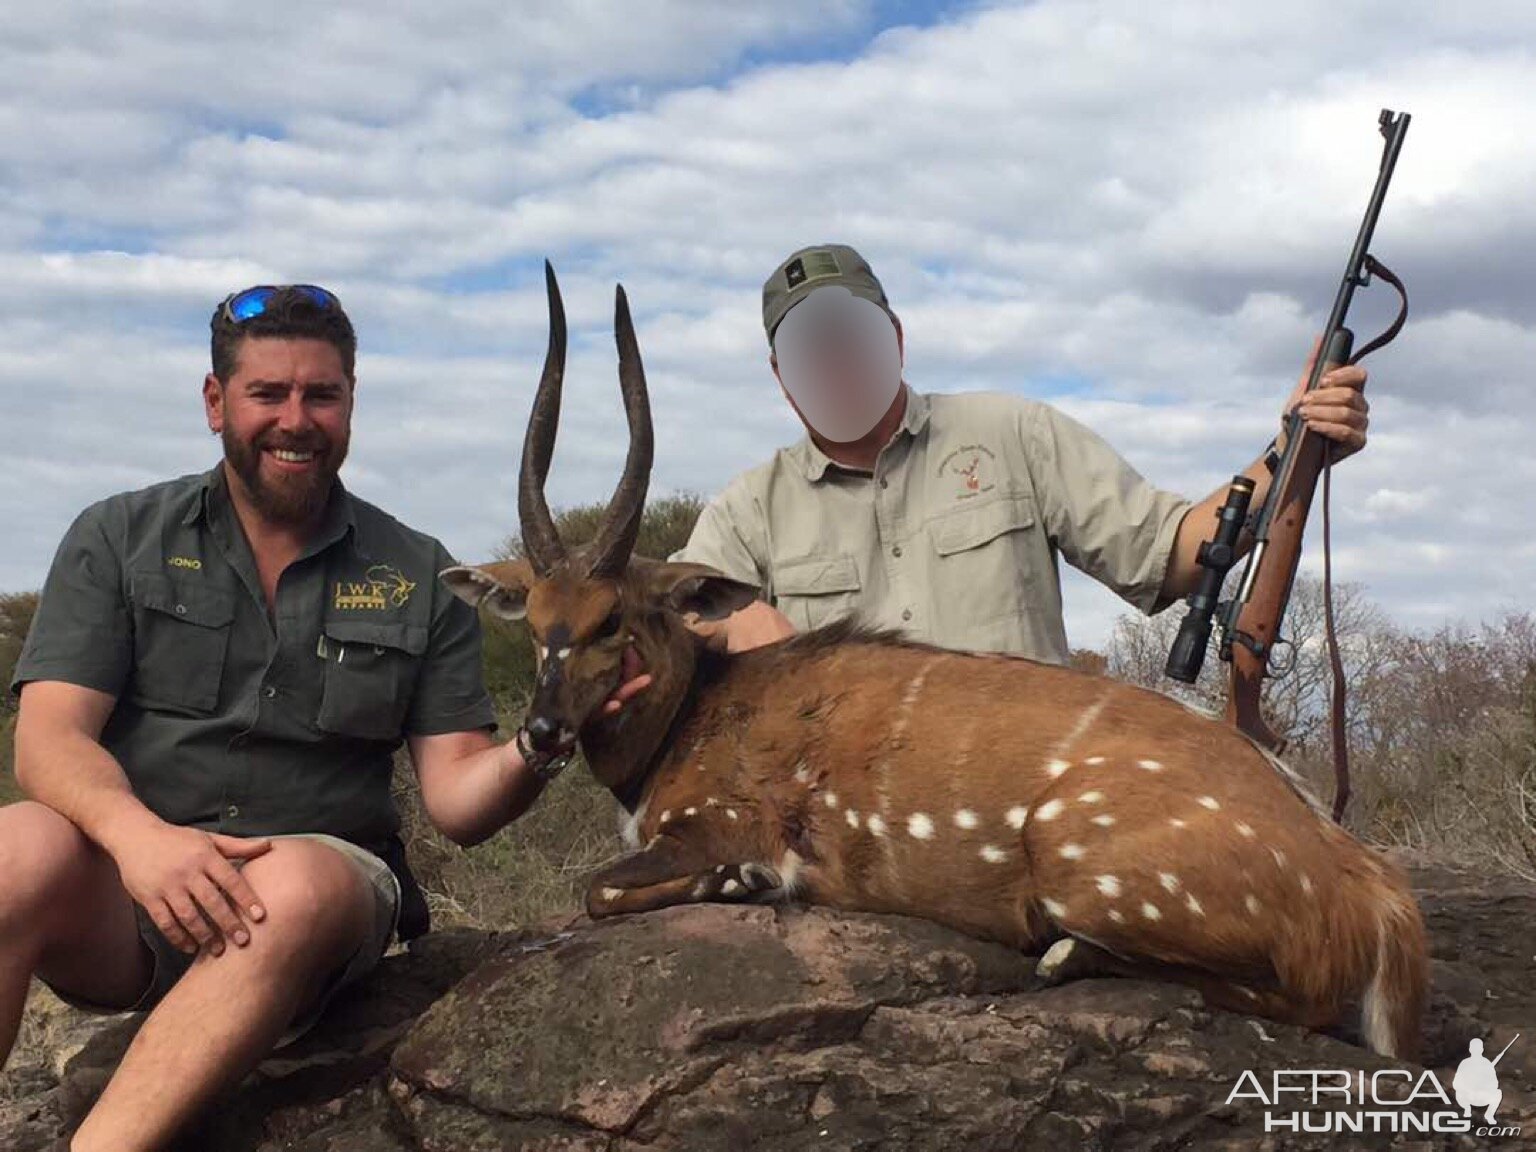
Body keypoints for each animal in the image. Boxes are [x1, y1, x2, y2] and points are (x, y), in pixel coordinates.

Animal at [442, 265, 1425, 1062]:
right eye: (534, 620)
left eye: (612, 619)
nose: (540, 732)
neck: (691, 714)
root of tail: (1370, 884)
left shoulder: (716, 823)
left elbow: (601, 887)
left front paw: (743, 881)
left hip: (1080, 862)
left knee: (1298, 1000)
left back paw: (1064, 955)